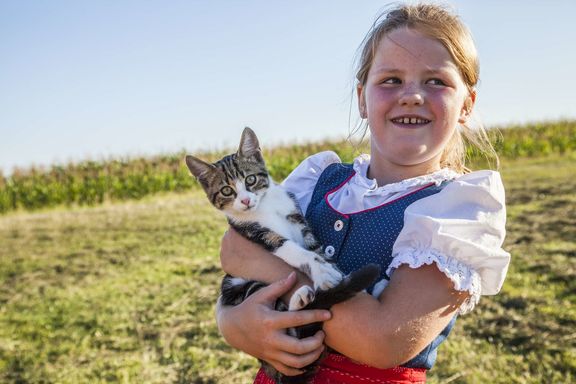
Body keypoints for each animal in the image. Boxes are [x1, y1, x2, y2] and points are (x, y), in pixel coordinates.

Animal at [187, 127, 380, 382]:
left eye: (250, 179)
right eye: (227, 190)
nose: (245, 201)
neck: (264, 206)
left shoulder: (297, 219)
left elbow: (314, 247)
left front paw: (331, 268)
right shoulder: (256, 233)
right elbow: (291, 249)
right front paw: (321, 272)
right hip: (237, 286)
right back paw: (301, 300)